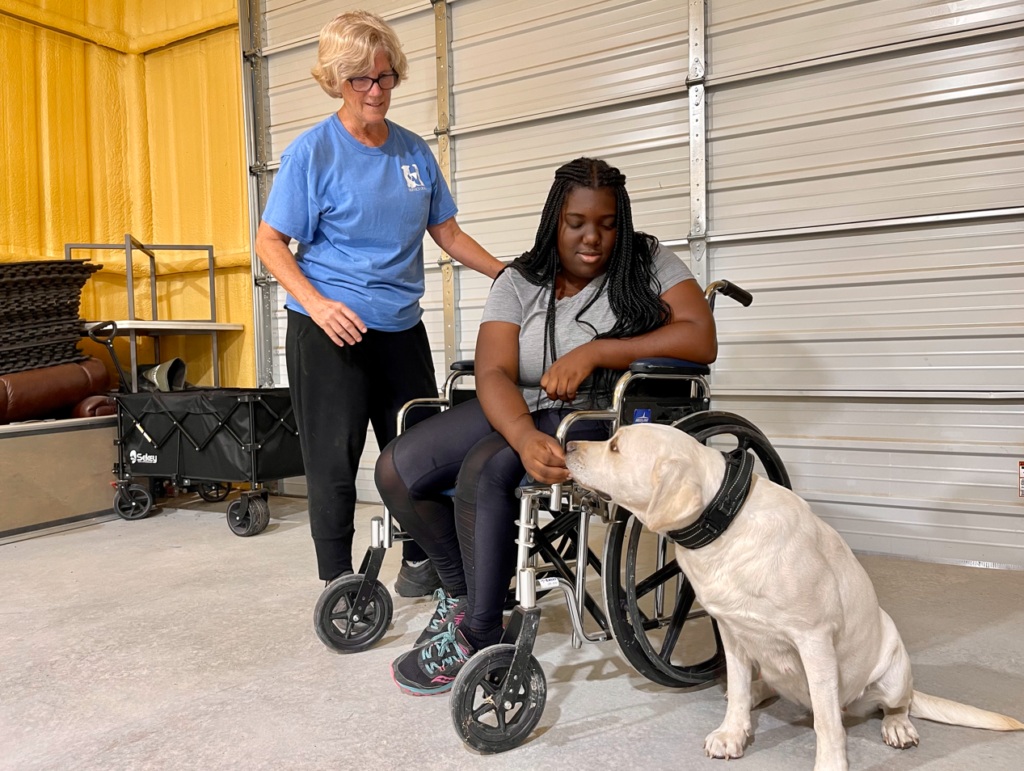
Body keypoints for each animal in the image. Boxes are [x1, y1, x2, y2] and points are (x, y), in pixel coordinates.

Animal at [565, 423, 1019, 765]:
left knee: (893, 704)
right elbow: (738, 689)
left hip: (892, 667)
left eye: (615, 446)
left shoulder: (814, 639)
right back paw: (756, 694)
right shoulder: (731, 632)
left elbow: (827, 724)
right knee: (758, 685)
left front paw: (830, 763)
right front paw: (732, 732)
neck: (725, 527)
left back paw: (897, 725)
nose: (567, 444)